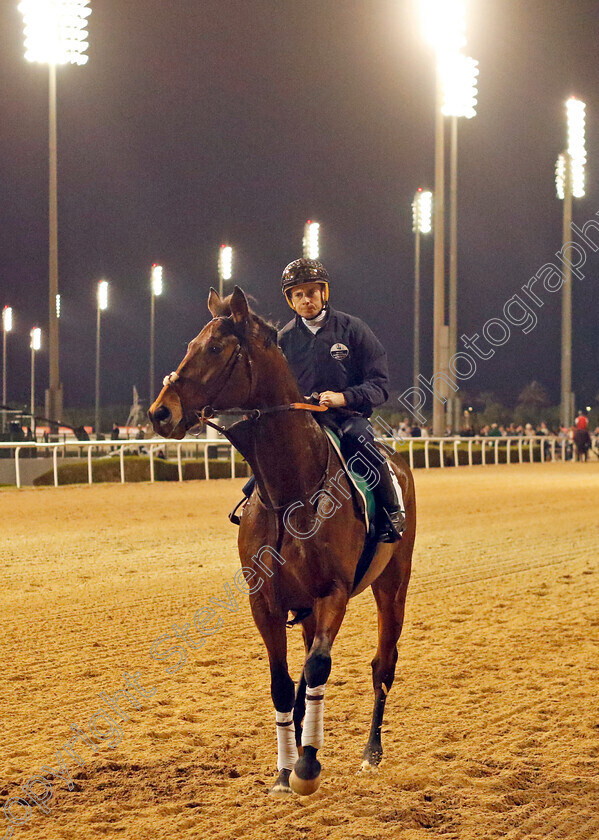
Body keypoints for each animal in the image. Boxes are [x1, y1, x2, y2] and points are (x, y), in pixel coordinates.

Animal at [148, 292, 414, 796]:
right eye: (191, 344)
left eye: (216, 348)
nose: (160, 412)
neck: (292, 490)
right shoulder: (266, 602)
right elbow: (282, 681)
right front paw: (284, 770)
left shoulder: (332, 593)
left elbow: (317, 668)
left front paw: (308, 765)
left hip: (392, 583)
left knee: (382, 664)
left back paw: (371, 753)